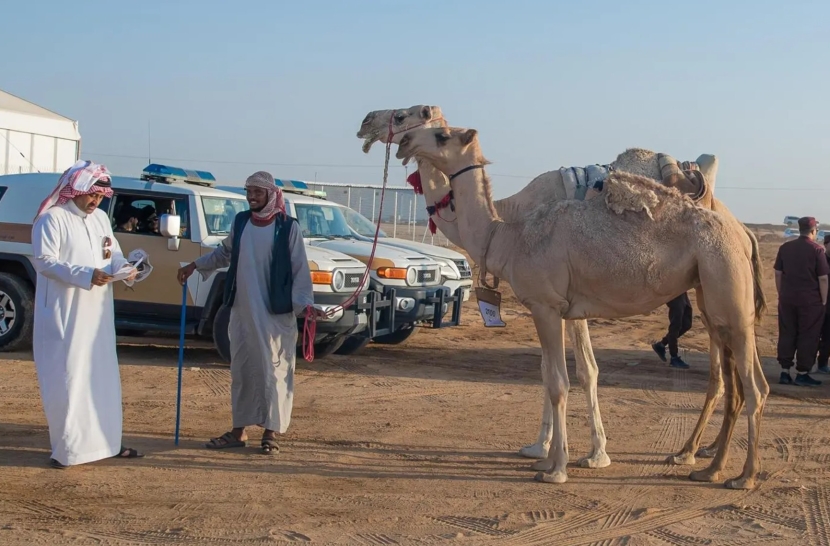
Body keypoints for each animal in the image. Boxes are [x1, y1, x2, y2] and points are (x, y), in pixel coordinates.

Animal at [358, 105, 768, 468]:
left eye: (410, 117)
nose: (370, 125)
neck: (507, 230)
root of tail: (743, 232)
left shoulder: (549, 305)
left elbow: (565, 378)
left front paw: (564, 461)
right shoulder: (564, 307)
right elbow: (561, 373)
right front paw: (557, 451)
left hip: (725, 287)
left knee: (738, 381)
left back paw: (724, 468)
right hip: (710, 293)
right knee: (730, 379)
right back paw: (701, 455)